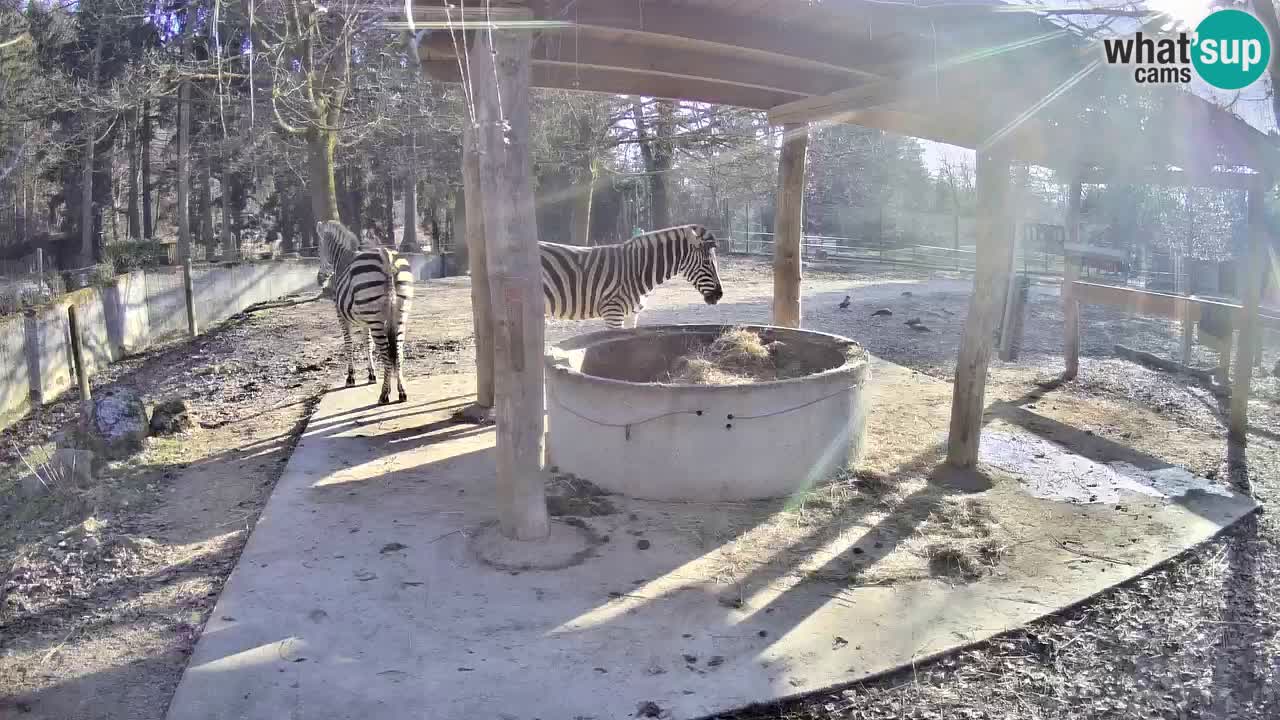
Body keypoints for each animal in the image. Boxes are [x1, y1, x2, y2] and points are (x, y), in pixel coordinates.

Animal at [314, 219, 414, 404]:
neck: (341, 259)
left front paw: (350, 378)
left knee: (386, 353)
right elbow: (368, 344)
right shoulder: (365, 320)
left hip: (376, 319)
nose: (319, 278)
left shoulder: (341, 315)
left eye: (318, 249)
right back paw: (402, 392)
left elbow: (348, 344)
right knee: (398, 351)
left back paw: (384, 394)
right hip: (400, 315)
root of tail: (386, 256)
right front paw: (371, 374)